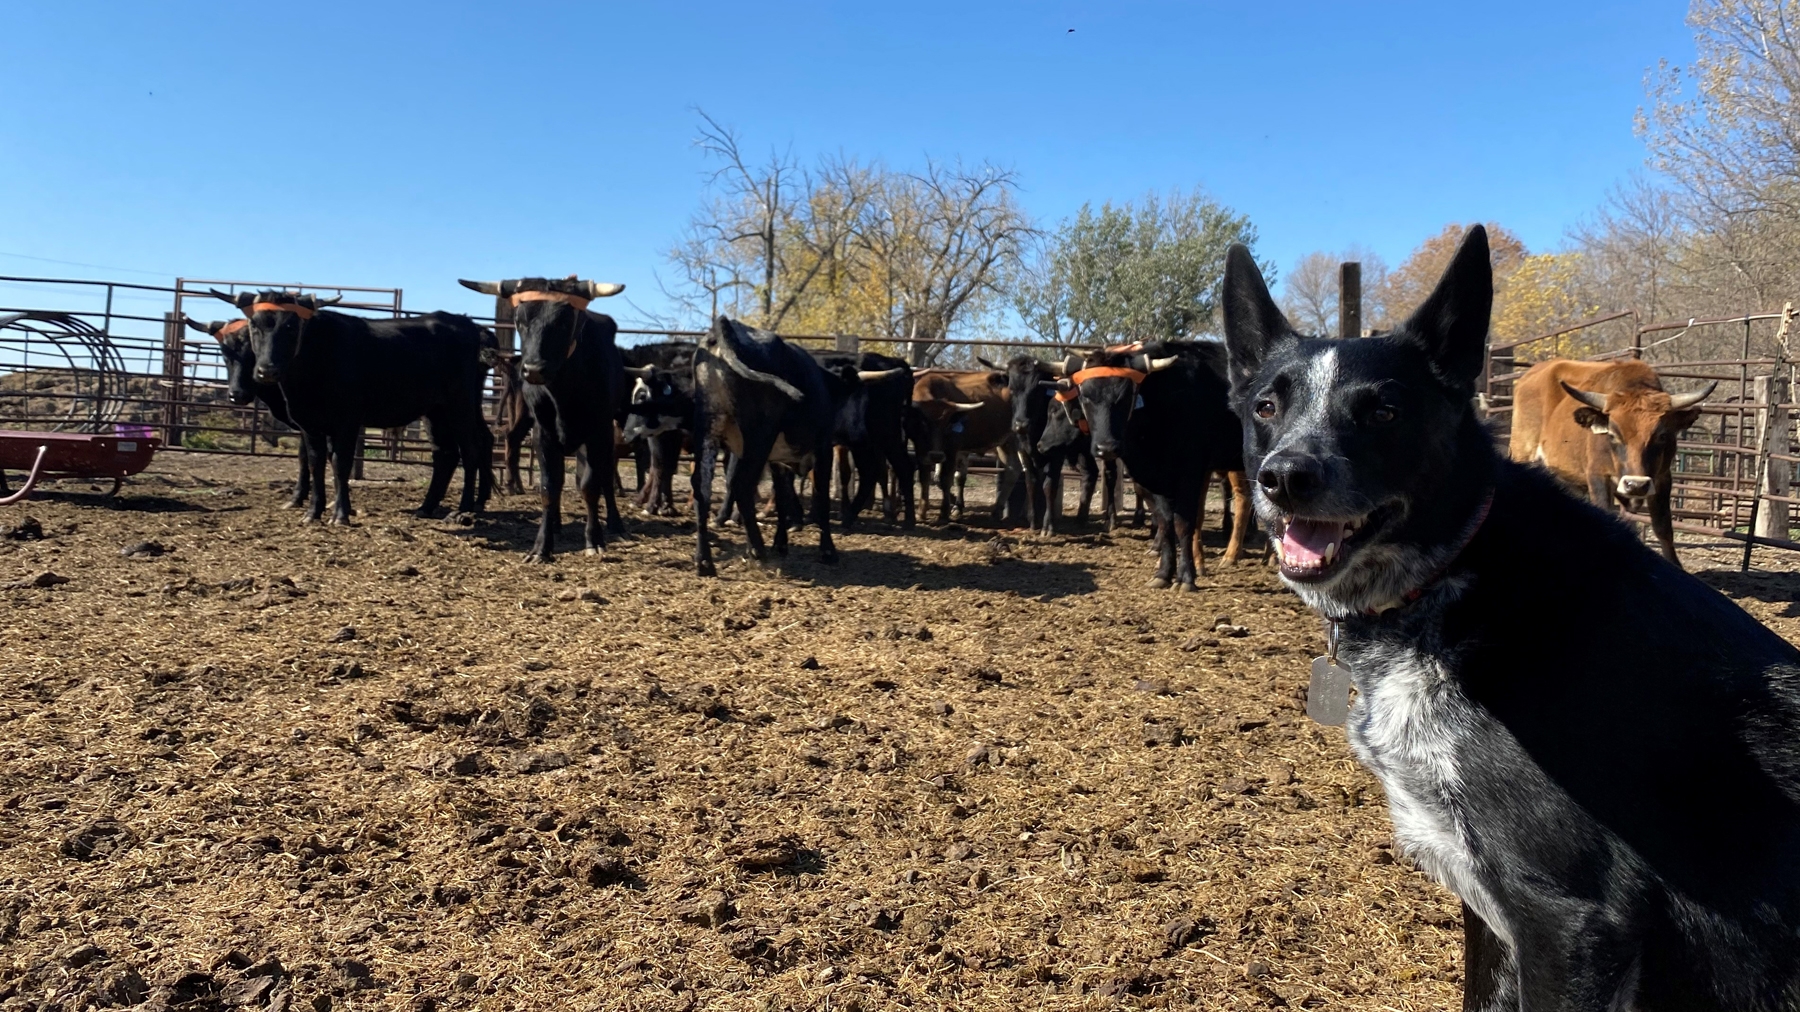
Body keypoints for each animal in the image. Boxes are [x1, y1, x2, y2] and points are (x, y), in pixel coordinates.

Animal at [216, 286, 493, 515]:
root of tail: (465, 322)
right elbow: (315, 461)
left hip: (461, 406)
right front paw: (314, 511)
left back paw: (465, 509)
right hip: (436, 412)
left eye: (291, 326)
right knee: (445, 453)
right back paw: (426, 507)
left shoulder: (347, 421)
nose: (267, 371)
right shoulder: (308, 423)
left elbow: (340, 462)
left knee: (471, 448)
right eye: (255, 325)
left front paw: (341, 513)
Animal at [460, 275, 630, 558]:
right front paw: (542, 546)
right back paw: (557, 524)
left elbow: (591, 485)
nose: (534, 369)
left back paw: (616, 524)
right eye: (519, 320)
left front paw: (594, 539)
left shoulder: (598, 432)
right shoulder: (544, 432)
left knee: (605, 477)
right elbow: (550, 487)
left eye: (564, 322)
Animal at [687, 313, 856, 576]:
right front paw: (828, 551)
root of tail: (726, 325)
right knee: (742, 486)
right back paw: (757, 550)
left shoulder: (778, 460)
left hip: (709, 428)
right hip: (758, 438)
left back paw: (704, 560)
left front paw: (781, 544)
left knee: (702, 486)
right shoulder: (822, 449)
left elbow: (782, 496)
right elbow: (821, 499)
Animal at [1065, 342, 1252, 587]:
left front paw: (1186, 578)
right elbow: (1165, 521)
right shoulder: (1151, 477)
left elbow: (1184, 522)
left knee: (1244, 500)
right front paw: (1163, 574)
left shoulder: (1191, 472)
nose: (1107, 448)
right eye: (1085, 396)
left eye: (1125, 396)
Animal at [1231, 224, 1800, 1001]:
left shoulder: (1572, 917)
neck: (1448, 581)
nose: (1286, 476)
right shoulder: (1491, 905)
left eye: (1382, 410)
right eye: (1266, 406)